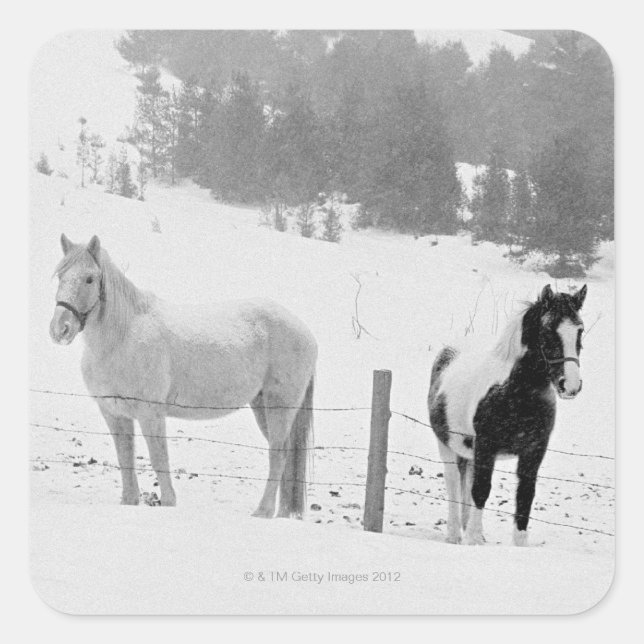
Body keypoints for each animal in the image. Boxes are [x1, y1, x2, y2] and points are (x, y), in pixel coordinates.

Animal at [49, 234, 318, 518]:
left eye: (89, 278)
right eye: (61, 276)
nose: (60, 329)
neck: (122, 338)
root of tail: (306, 332)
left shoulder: (150, 413)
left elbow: (159, 457)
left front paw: (168, 501)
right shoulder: (114, 413)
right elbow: (125, 456)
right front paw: (129, 500)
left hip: (279, 405)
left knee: (278, 454)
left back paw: (263, 511)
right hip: (261, 405)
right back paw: (282, 513)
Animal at [427, 283, 587, 546]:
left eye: (580, 330)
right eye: (547, 330)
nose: (571, 386)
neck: (515, 394)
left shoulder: (533, 452)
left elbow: (524, 497)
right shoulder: (486, 446)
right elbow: (481, 490)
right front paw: (472, 540)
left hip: (470, 452)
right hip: (447, 446)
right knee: (453, 484)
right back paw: (454, 535)